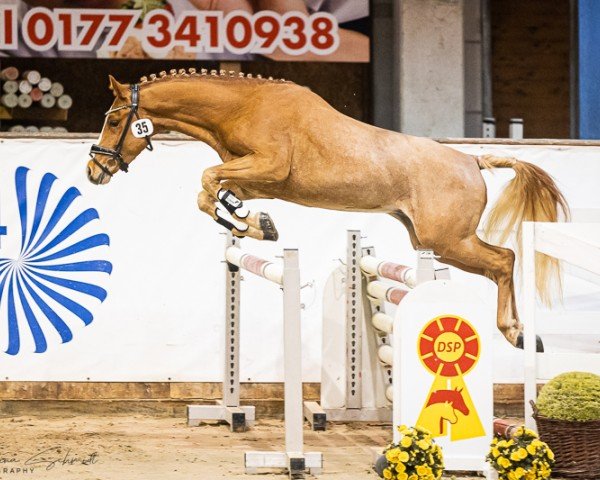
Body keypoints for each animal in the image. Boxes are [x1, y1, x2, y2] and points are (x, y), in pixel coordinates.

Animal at [86, 67, 568, 350]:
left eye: (115, 120)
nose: (95, 170)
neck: (243, 107)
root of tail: (472, 161)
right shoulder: (255, 178)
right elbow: (211, 192)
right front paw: (253, 223)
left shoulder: (269, 167)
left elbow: (208, 180)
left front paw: (247, 221)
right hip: (431, 240)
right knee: (500, 263)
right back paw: (521, 335)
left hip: (447, 240)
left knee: (503, 260)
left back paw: (516, 332)